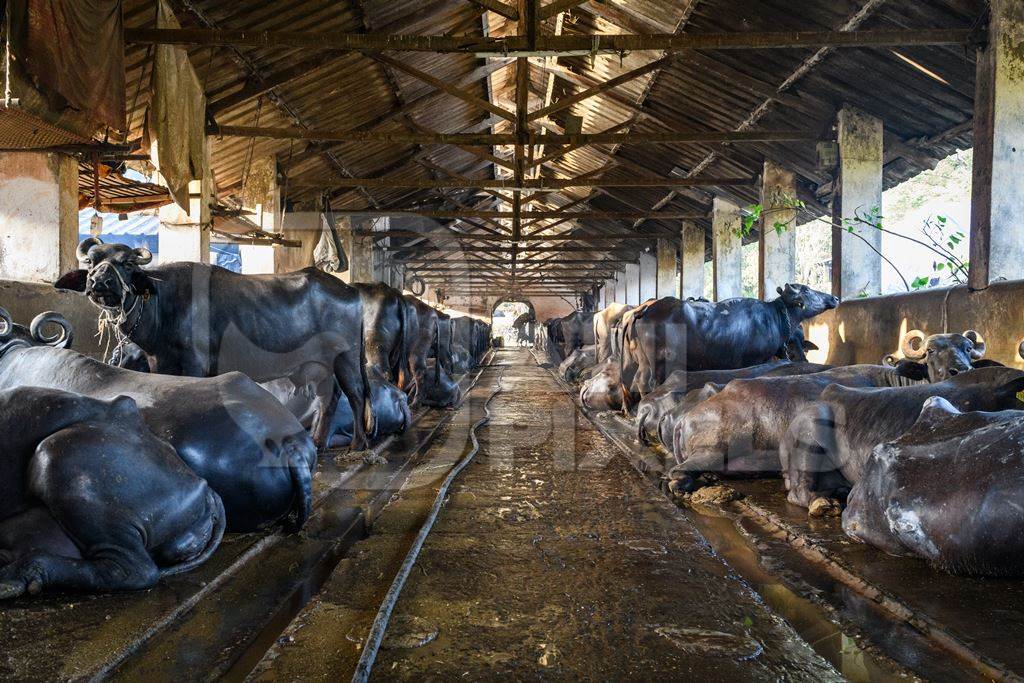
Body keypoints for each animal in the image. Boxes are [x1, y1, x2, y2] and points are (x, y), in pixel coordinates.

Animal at [54, 240, 370, 454]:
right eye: (91, 262)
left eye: (127, 264)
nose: (100, 282)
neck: (163, 304)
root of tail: (351, 290)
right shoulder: (159, 361)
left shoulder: (196, 363)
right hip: (320, 365)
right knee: (328, 397)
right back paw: (318, 441)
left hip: (346, 357)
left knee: (355, 393)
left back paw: (359, 443)